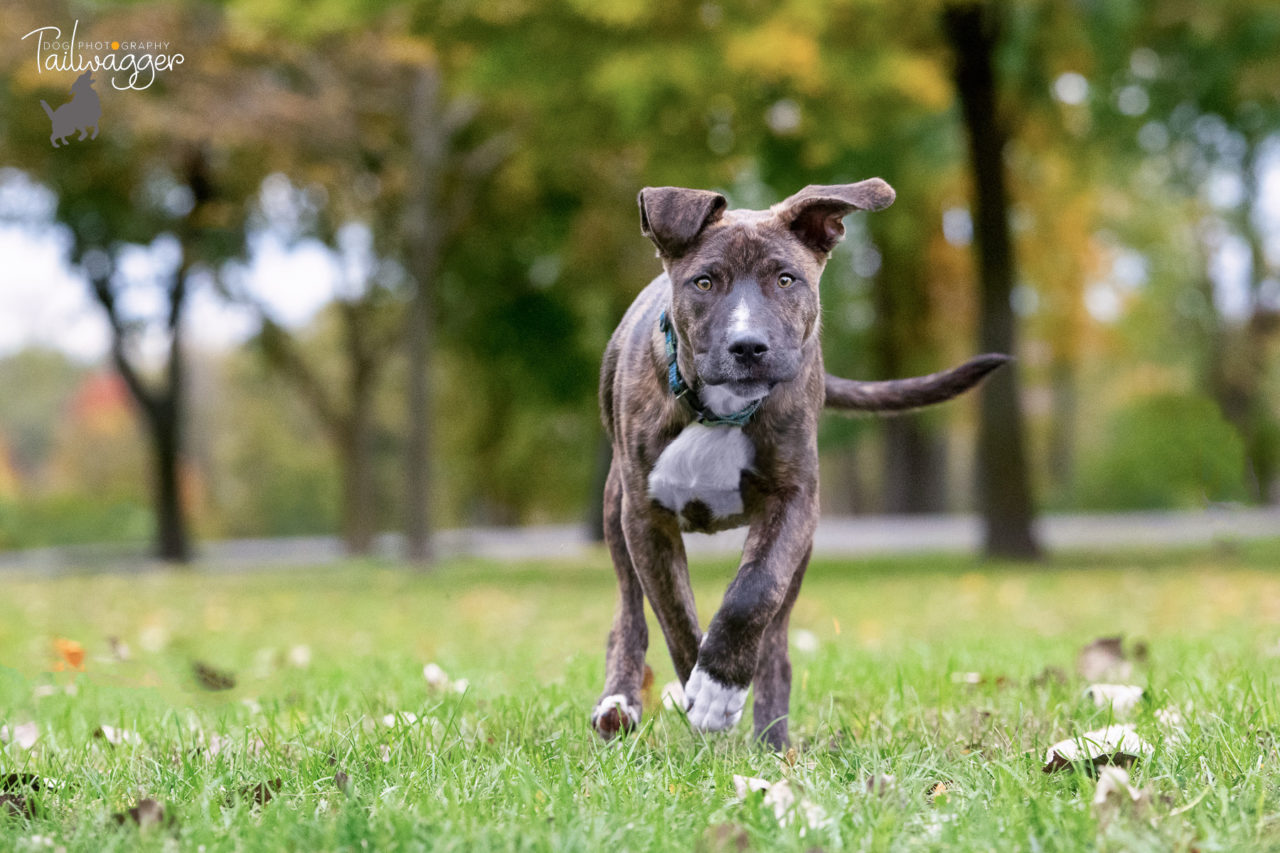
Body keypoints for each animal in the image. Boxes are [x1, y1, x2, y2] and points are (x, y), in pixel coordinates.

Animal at [591, 179, 1008, 742]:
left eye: (786, 279)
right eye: (704, 282)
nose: (748, 347)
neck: (720, 411)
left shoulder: (795, 502)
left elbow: (754, 592)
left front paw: (719, 685)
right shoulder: (645, 517)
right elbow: (675, 614)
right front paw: (700, 693)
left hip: (798, 546)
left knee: (774, 638)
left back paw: (772, 740)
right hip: (616, 508)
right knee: (629, 614)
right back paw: (620, 703)